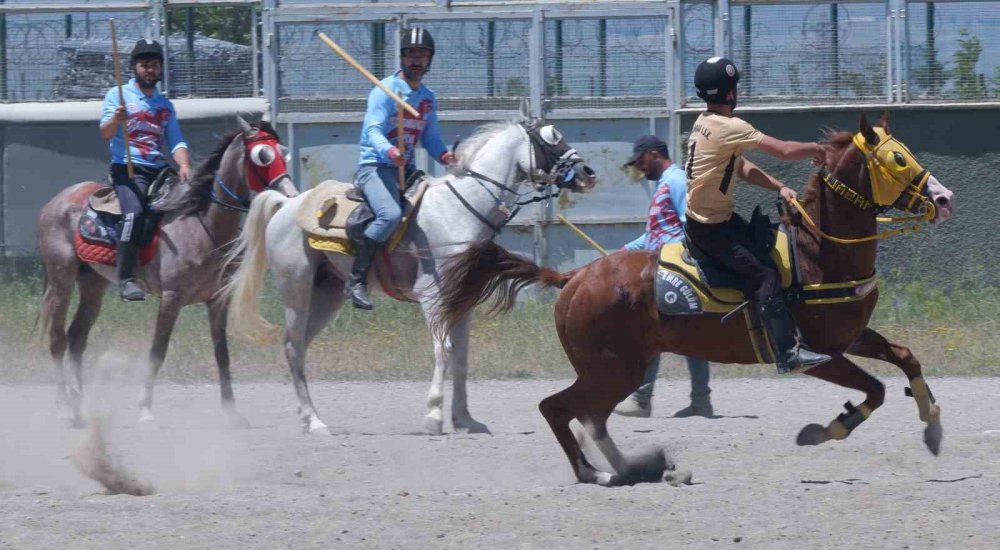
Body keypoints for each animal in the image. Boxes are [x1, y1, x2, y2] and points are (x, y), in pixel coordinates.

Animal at [36, 117, 300, 426]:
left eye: (283, 152)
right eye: (263, 155)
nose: (291, 194)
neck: (199, 221)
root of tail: (56, 201)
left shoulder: (217, 300)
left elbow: (222, 353)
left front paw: (231, 413)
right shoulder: (172, 298)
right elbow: (157, 352)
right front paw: (145, 409)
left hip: (93, 284)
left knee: (77, 338)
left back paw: (81, 405)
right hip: (61, 279)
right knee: (58, 339)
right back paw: (65, 407)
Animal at [226, 119, 596, 436]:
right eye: (551, 138)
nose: (587, 173)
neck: (459, 210)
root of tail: (286, 205)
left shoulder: (463, 301)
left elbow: (461, 355)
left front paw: (465, 419)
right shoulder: (432, 296)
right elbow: (443, 349)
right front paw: (434, 414)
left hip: (326, 295)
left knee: (299, 347)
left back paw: (309, 418)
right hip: (297, 292)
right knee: (291, 347)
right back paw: (315, 421)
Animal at [434, 113, 956, 488]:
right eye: (898, 160)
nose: (945, 198)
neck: (817, 254)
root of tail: (575, 277)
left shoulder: (853, 336)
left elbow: (906, 358)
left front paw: (932, 425)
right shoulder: (819, 355)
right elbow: (876, 390)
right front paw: (824, 431)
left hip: (616, 368)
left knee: (589, 417)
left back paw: (637, 468)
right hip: (613, 368)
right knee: (560, 409)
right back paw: (598, 472)